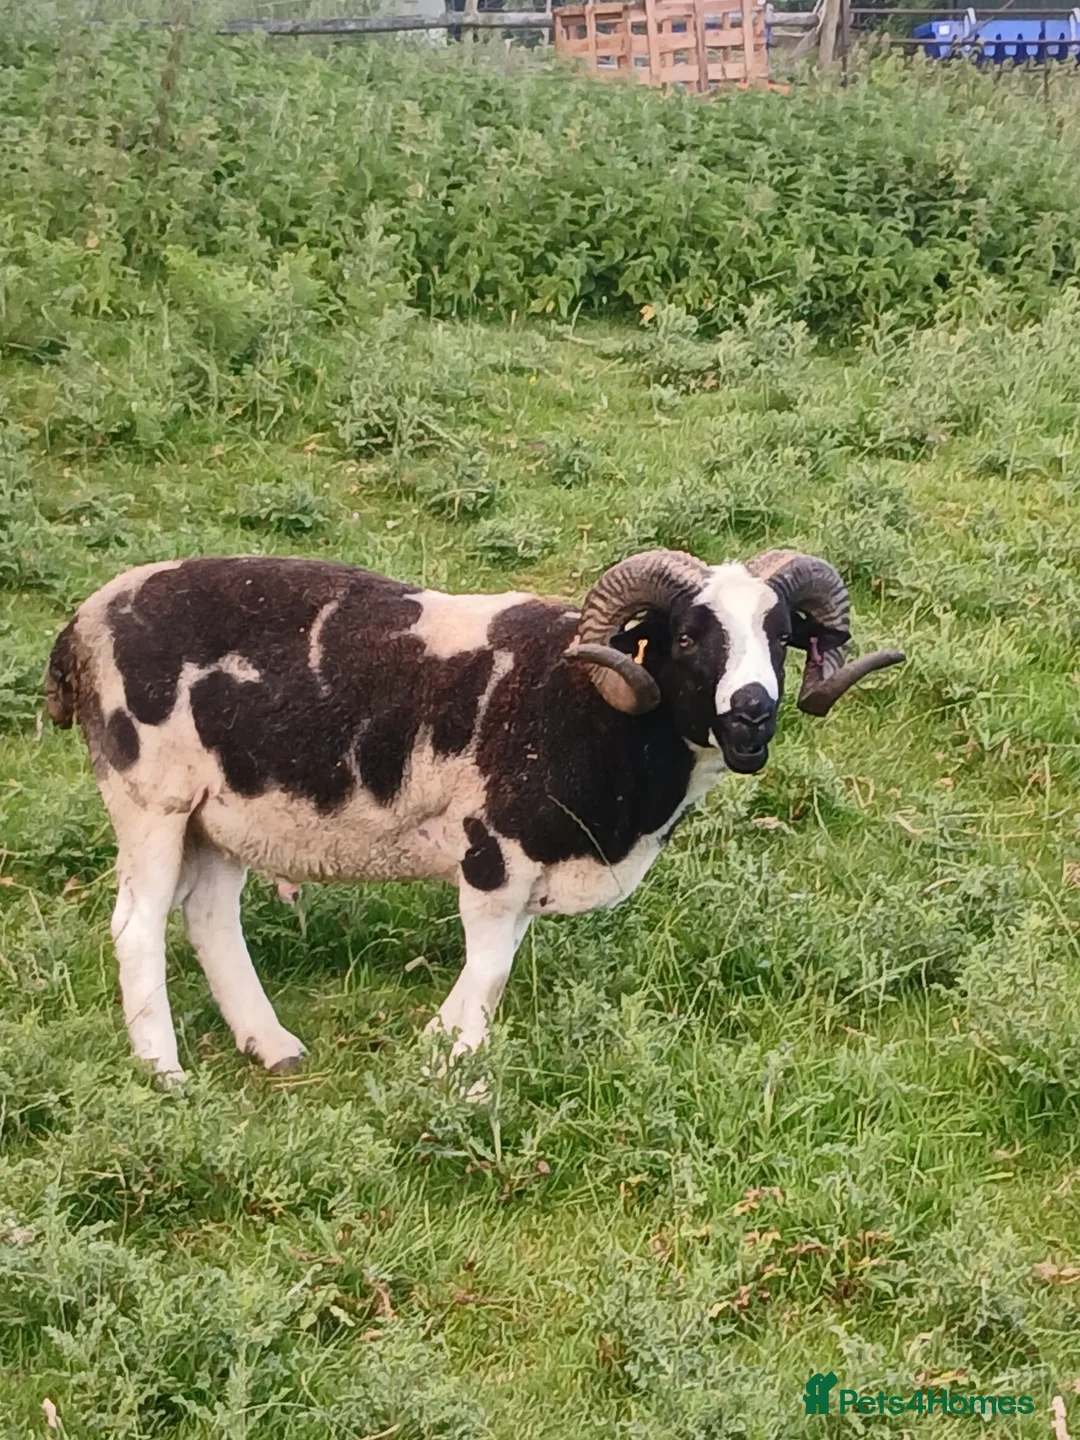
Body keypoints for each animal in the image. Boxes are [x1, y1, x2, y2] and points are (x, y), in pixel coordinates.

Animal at [45, 548, 904, 1084]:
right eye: (690, 636)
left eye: (782, 635)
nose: (753, 713)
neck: (588, 707)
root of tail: (80, 627)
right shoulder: (494, 856)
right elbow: (490, 973)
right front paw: (451, 1065)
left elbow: (497, 965)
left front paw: (443, 1053)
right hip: (151, 798)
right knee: (137, 925)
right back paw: (162, 1069)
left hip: (223, 812)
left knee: (210, 915)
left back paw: (273, 1046)